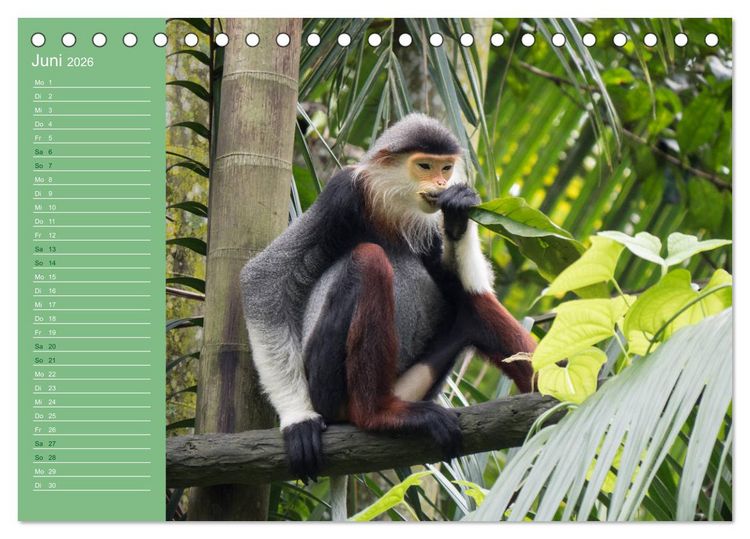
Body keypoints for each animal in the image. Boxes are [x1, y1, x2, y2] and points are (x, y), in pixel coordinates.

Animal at [240, 113, 536, 491]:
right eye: (425, 166)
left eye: (446, 167)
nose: (442, 181)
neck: (392, 207)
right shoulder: (342, 193)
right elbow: (262, 278)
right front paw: (298, 419)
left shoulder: (428, 225)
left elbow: (467, 282)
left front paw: (458, 212)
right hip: (327, 385)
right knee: (370, 259)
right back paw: (377, 415)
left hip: (412, 384)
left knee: (471, 304)